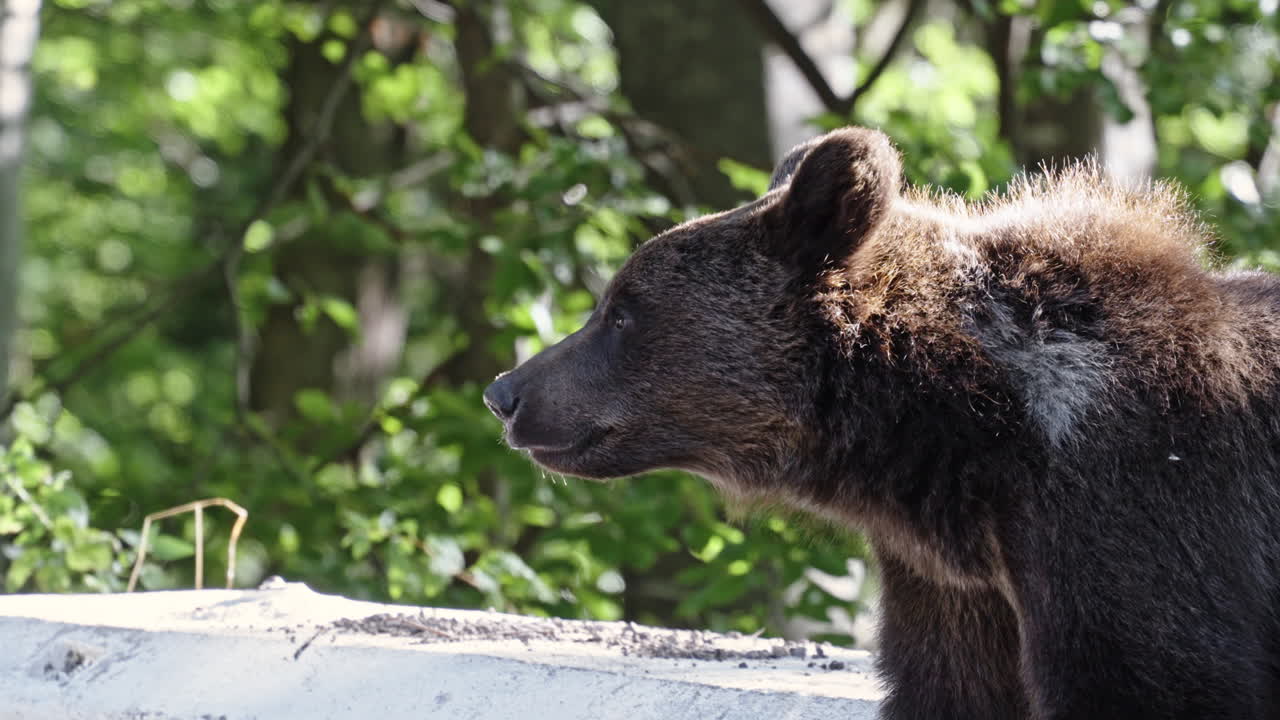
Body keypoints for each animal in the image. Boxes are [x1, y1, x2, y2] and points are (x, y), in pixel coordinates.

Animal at [483, 126, 1280, 720]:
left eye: (622, 310)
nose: (506, 391)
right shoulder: (952, 582)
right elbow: (953, 683)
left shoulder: (1128, 509)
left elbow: (1152, 673)